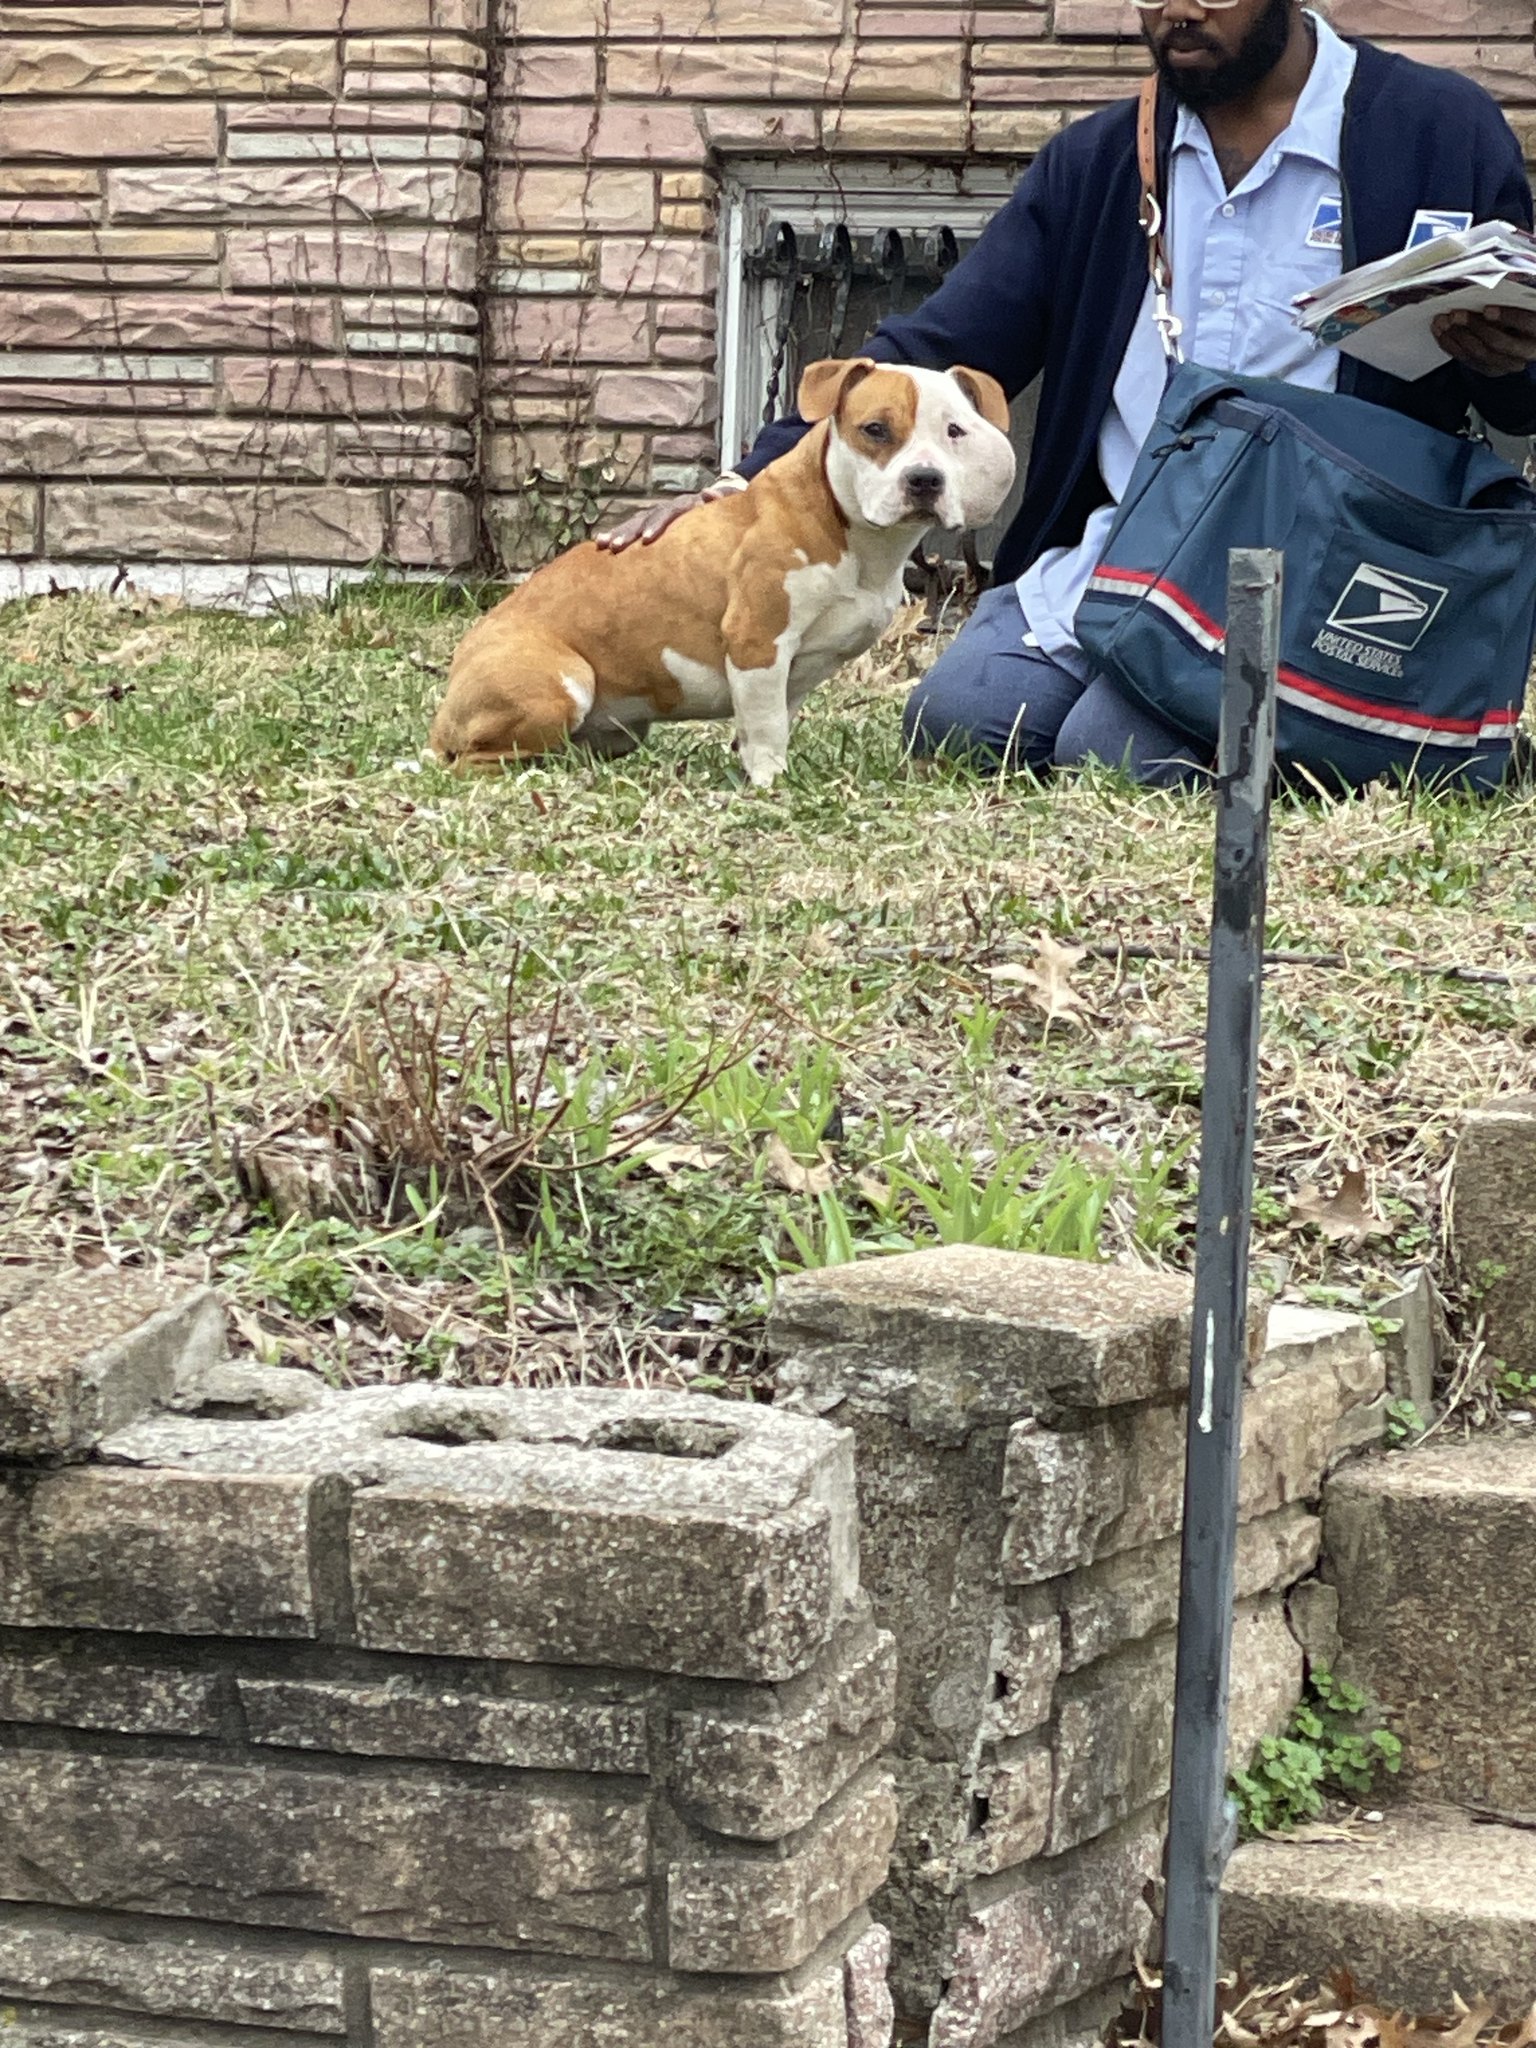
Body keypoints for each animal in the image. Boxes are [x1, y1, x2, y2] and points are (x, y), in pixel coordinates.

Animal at [428, 356, 1015, 786]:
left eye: (955, 432)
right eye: (875, 429)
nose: (925, 479)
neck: (850, 531)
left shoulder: (793, 667)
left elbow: (771, 718)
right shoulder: (757, 642)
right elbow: (766, 723)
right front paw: (771, 782)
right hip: (562, 683)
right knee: (476, 762)